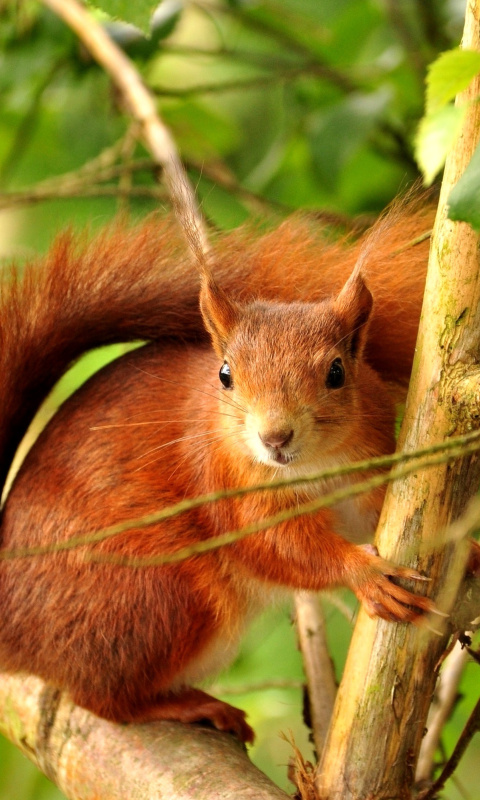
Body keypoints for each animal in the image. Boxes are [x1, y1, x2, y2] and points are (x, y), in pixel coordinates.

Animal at [0, 206, 468, 744]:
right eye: (225, 374)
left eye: (336, 372)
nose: (275, 437)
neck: (314, 466)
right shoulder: (225, 485)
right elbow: (275, 545)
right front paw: (365, 574)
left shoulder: (368, 466)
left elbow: (382, 513)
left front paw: (468, 547)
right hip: (155, 595)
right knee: (103, 699)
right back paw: (189, 705)